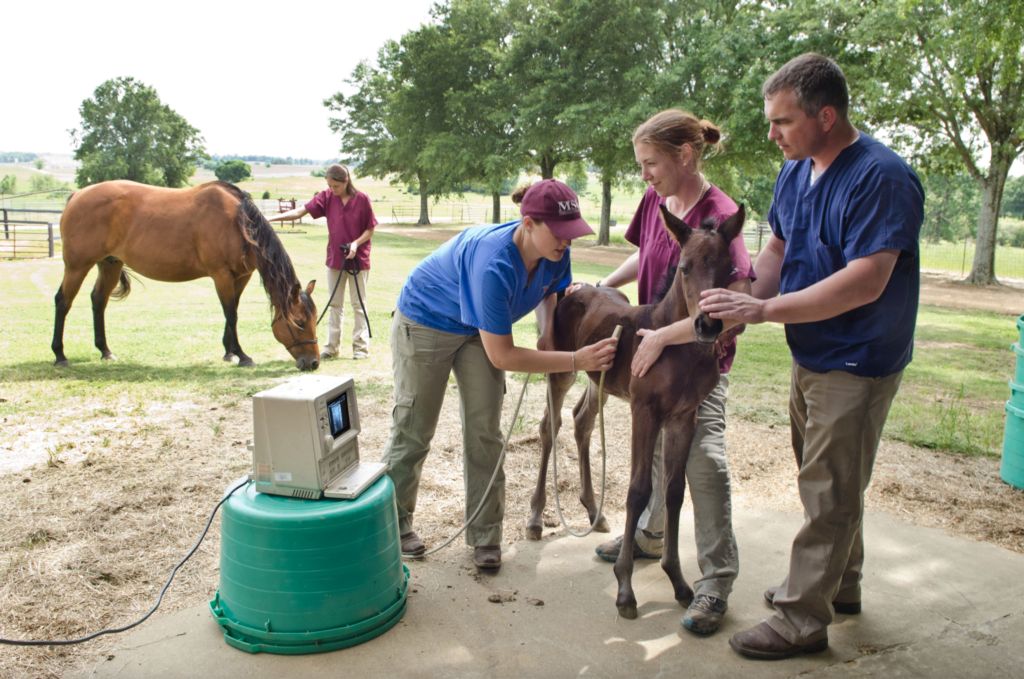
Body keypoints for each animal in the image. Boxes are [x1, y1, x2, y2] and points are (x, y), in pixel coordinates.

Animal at [48, 180, 317, 372]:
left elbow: (233, 313)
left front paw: (229, 352)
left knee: (98, 301)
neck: (238, 224)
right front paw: (242, 355)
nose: (313, 363)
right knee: (63, 302)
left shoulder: (240, 277)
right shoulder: (221, 276)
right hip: (77, 266)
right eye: (299, 322)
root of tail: (76, 196)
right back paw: (60, 355)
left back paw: (105, 350)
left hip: (110, 265)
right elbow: (231, 314)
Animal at [528, 204, 745, 618]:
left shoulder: (683, 417)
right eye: (684, 268)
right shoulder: (645, 412)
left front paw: (678, 581)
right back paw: (534, 517)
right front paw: (625, 589)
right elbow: (639, 490)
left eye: (730, 271)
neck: (674, 346)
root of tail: (576, 289)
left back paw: (593, 511)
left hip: (599, 380)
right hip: (561, 371)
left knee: (581, 422)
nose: (708, 325)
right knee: (551, 426)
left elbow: (674, 491)